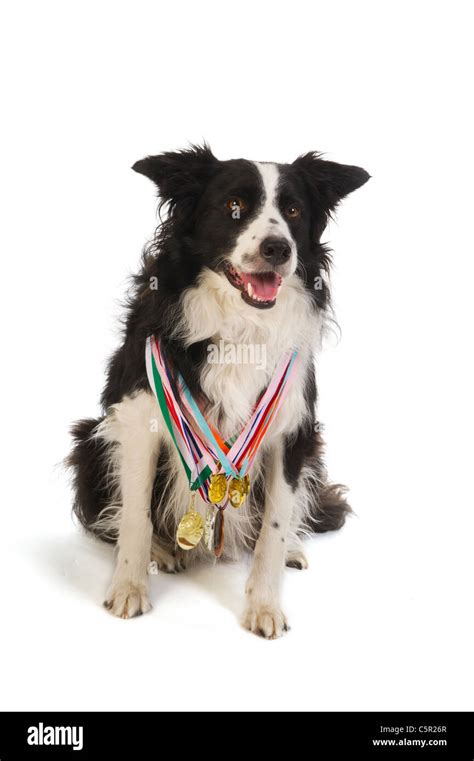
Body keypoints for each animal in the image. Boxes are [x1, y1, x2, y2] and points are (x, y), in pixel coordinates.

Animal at [67, 142, 370, 636]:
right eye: (234, 206)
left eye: (293, 210)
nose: (278, 248)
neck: (241, 323)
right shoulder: (137, 418)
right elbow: (135, 516)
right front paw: (129, 588)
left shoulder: (292, 429)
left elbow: (274, 526)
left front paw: (264, 605)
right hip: (88, 442)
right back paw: (164, 551)